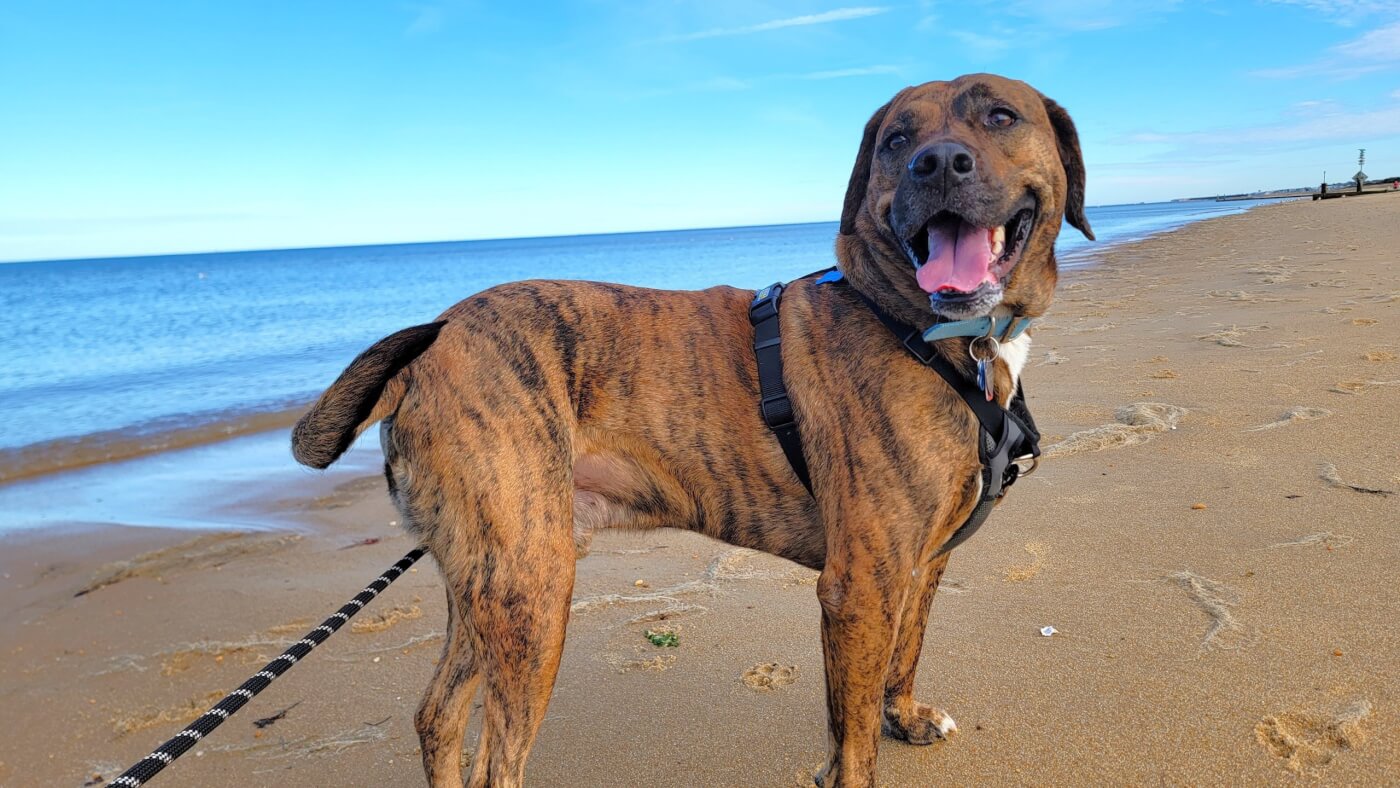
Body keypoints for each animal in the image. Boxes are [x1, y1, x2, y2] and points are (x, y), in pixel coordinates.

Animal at [287, 71, 1092, 783]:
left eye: (1000, 117)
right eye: (897, 139)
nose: (937, 163)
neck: (929, 329)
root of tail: (426, 351)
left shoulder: (920, 565)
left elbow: (905, 654)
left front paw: (905, 715)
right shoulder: (861, 586)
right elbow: (853, 740)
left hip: (486, 578)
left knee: (436, 715)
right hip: (532, 590)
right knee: (494, 763)